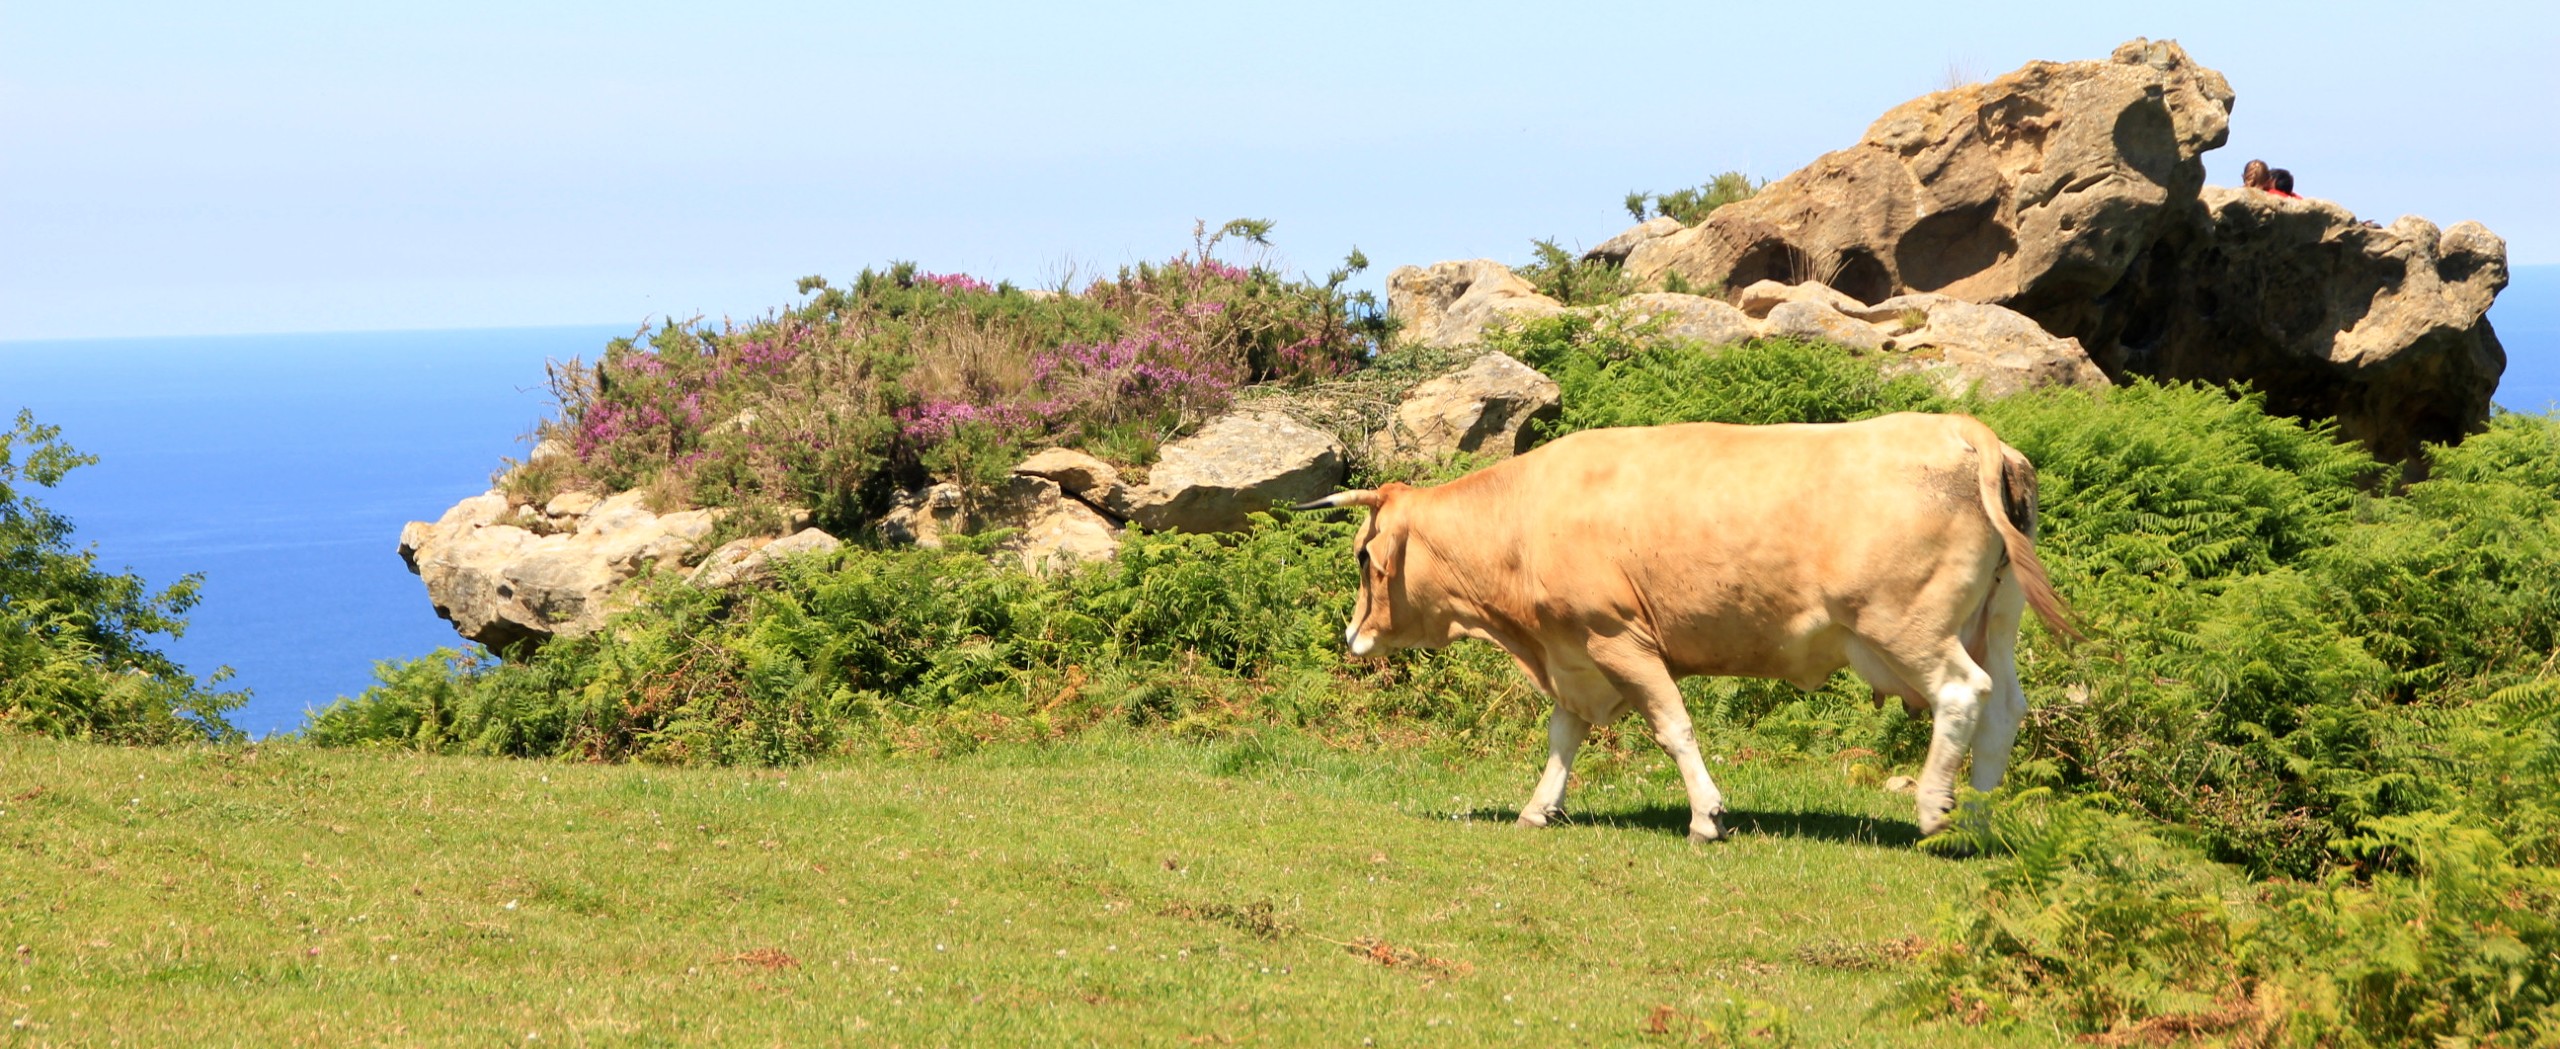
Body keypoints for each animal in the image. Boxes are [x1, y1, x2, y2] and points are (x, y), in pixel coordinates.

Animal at [1310, 414, 2068, 839]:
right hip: (1994, 620)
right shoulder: (1574, 652)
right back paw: (1976, 820)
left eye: (1362, 556)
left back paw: (1936, 809)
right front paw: (1538, 808)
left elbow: (1673, 727)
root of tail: (1970, 430)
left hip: (1908, 624)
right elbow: (1563, 735)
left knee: (1963, 695)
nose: (1352, 637)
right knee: (2005, 708)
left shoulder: (1617, 637)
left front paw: (1707, 815)